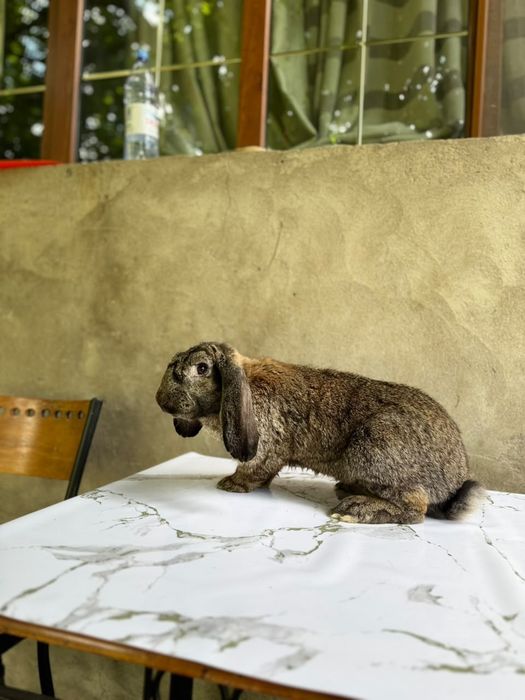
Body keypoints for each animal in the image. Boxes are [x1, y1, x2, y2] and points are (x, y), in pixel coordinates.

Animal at [156, 342, 485, 524]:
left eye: (201, 368)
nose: (161, 401)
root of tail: (453, 481)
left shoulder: (265, 447)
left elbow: (256, 470)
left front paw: (230, 485)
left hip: (374, 447)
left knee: (416, 508)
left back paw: (356, 510)